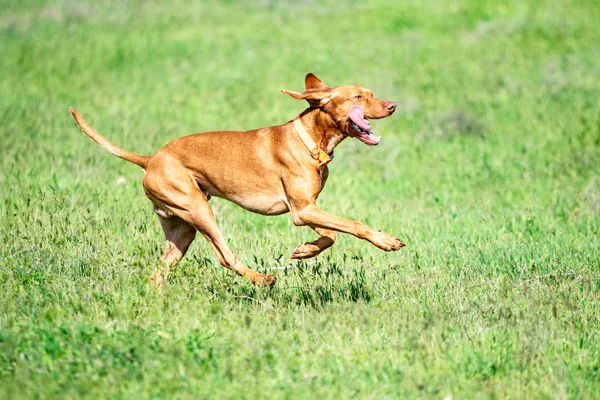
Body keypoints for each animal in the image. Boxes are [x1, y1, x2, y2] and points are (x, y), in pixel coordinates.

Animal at [72, 73, 406, 288]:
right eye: (358, 97)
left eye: (371, 93)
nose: (392, 106)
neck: (310, 139)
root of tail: (150, 159)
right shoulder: (302, 211)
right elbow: (352, 226)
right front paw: (386, 240)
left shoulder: (307, 208)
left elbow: (331, 235)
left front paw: (305, 250)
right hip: (198, 210)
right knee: (225, 257)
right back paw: (262, 279)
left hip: (181, 230)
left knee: (159, 271)